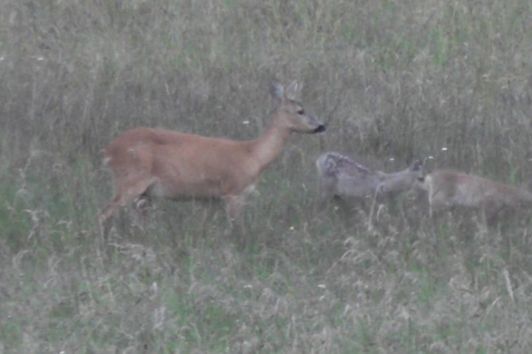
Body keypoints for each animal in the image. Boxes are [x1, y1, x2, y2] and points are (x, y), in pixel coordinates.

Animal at [97, 81, 326, 231]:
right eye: (300, 110)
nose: (322, 125)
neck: (253, 155)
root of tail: (108, 150)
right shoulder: (234, 191)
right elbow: (235, 228)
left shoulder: (212, 199)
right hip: (130, 180)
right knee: (104, 213)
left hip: (143, 193)